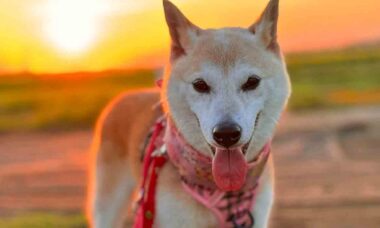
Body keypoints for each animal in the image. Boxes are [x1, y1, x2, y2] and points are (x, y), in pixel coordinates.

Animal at [88, 0, 290, 227]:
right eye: (200, 85)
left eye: (252, 82)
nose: (226, 134)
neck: (220, 188)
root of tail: (122, 97)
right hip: (108, 204)